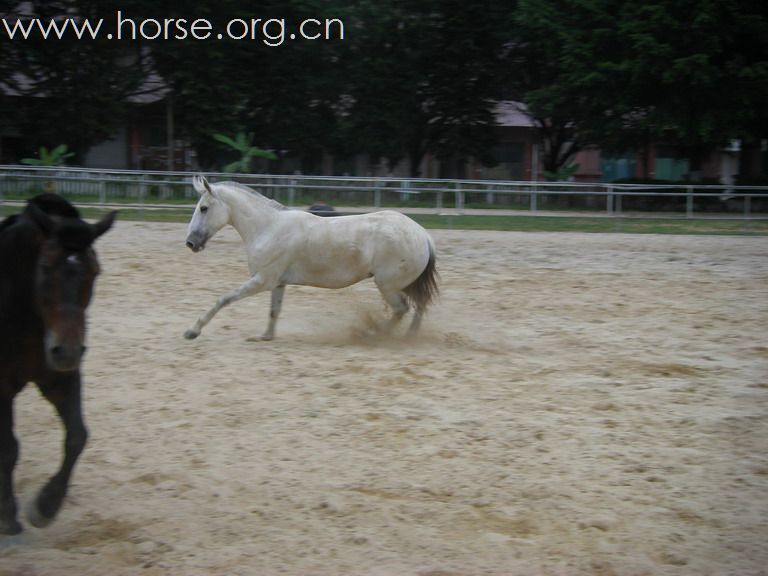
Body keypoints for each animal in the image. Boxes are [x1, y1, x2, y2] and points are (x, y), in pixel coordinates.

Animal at [0, 195, 115, 536]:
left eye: (95, 270)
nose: (67, 351)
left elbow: (77, 437)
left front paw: (45, 506)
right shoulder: (1, 387)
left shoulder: (60, 379)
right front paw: (8, 514)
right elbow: (9, 447)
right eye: (45, 266)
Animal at [181, 173, 440, 340]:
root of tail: (423, 235)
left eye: (203, 208)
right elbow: (274, 310)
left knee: (402, 309)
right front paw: (265, 336)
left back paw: (375, 334)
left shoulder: (263, 280)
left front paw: (192, 331)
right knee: (419, 306)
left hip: (388, 285)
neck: (268, 227)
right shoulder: (278, 283)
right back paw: (409, 337)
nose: (191, 243)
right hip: (403, 284)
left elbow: (223, 299)